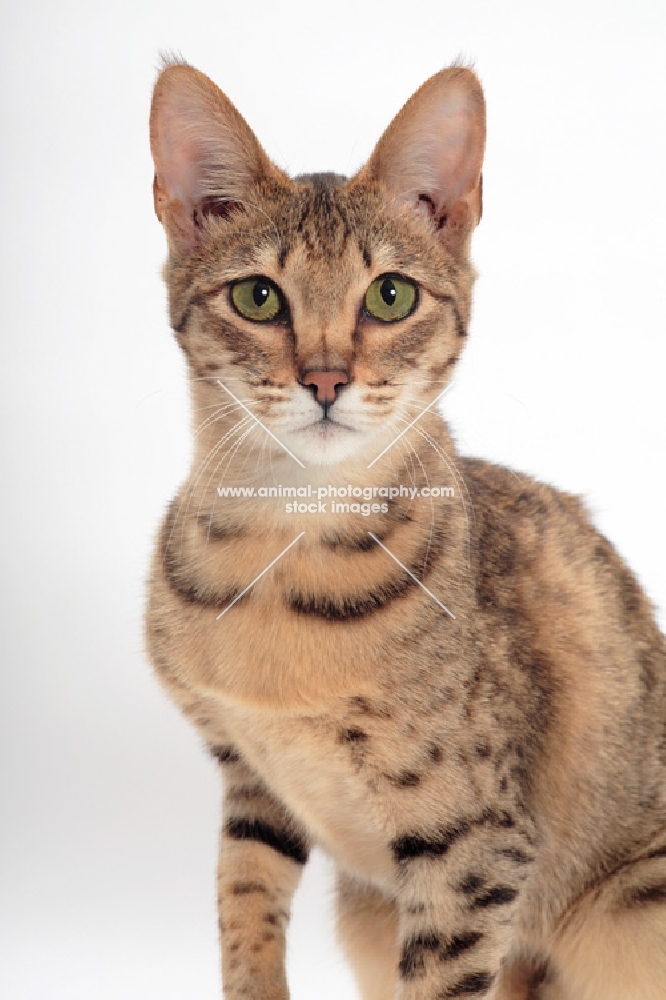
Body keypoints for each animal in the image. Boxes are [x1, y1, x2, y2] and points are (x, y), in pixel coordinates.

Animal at [144, 60, 664, 1000]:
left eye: (390, 295)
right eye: (257, 296)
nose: (324, 379)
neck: (281, 546)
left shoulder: (475, 845)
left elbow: (442, 979)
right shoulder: (249, 782)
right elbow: (243, 917)